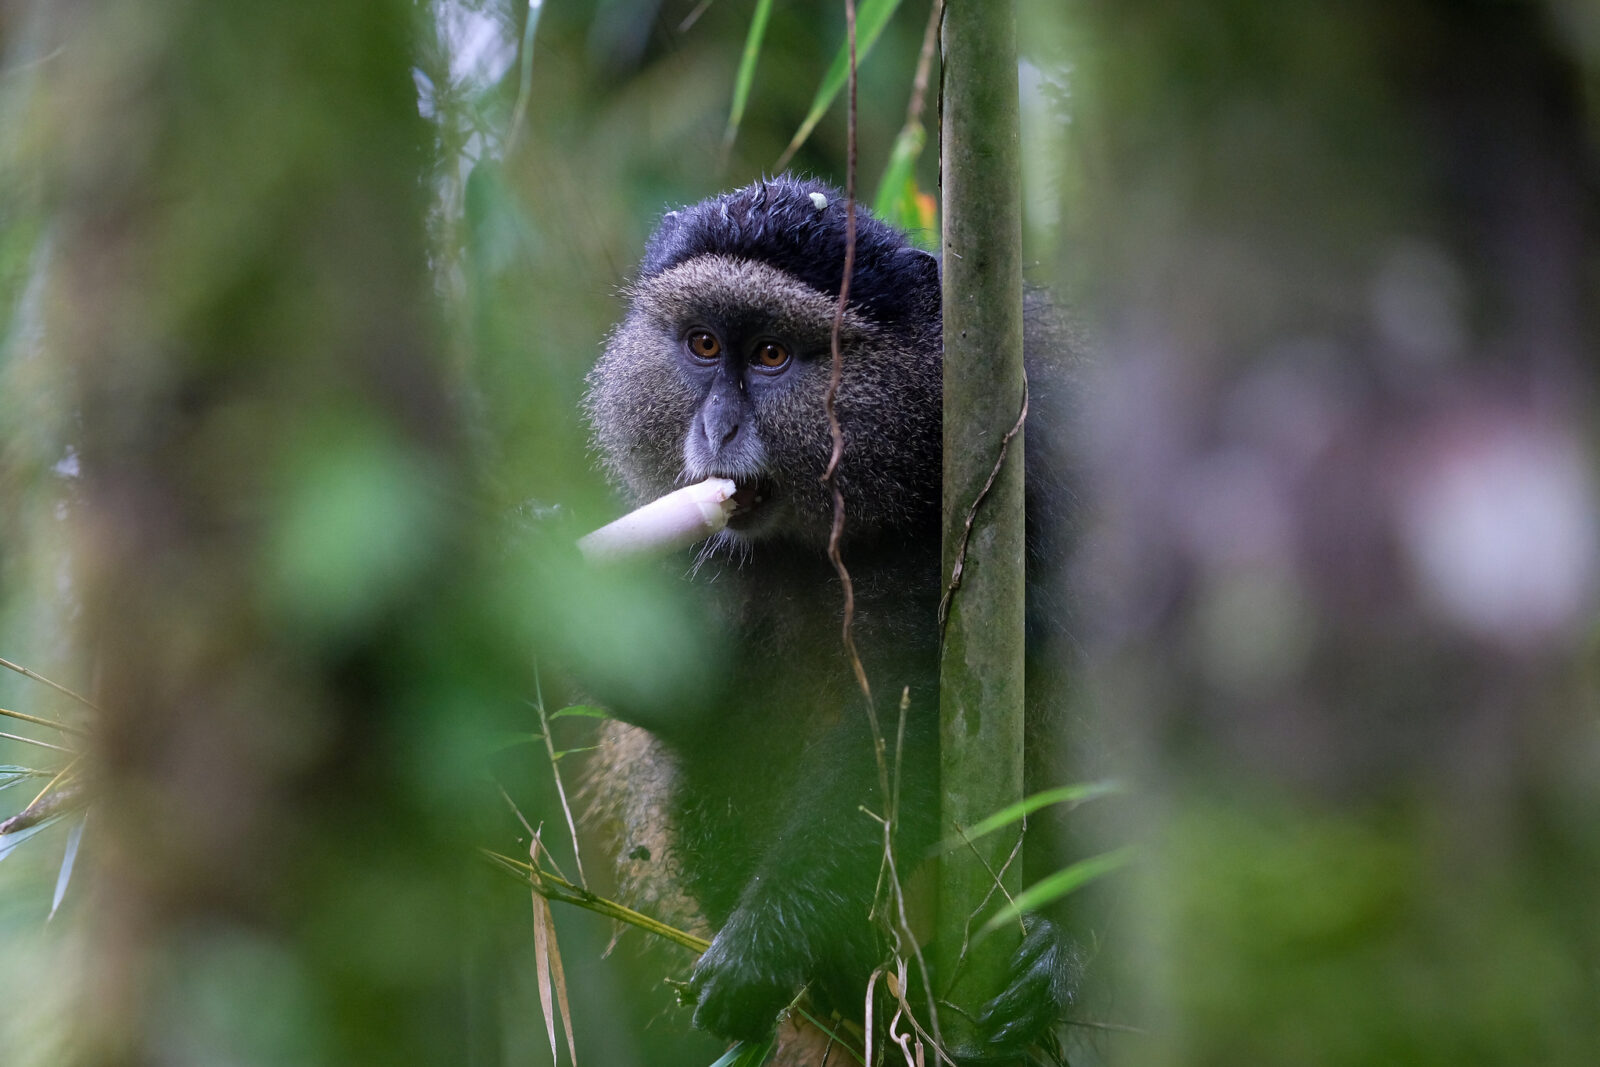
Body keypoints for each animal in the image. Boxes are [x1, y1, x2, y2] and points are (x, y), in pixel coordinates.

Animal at [581, 174, 1082, 1062]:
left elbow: (907, 722)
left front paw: (762, 944)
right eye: (703, 344)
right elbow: (685, 704)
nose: (718, 428)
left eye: (773, 355)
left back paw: (1049, 967)